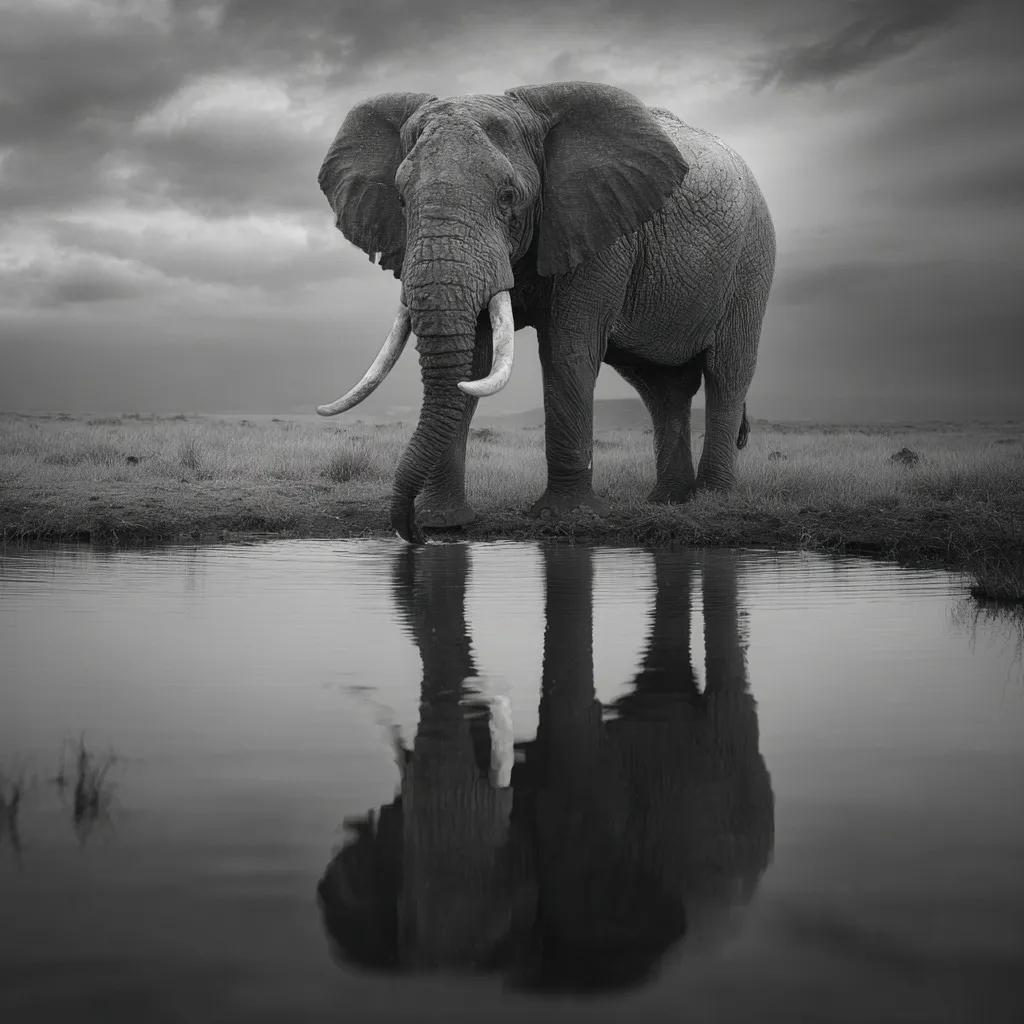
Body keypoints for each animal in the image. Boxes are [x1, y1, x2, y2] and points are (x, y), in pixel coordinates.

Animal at [315, 81, 776, 543]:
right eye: (400, 200)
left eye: (507, 198)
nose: (412, 534)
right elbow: (476, 358)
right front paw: (443, 522)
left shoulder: (598, 228)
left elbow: (566, 350)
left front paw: (566, 518)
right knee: (662, 388)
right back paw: (668, 502)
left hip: (751, 264)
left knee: (727, 372)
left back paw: (711, 500)